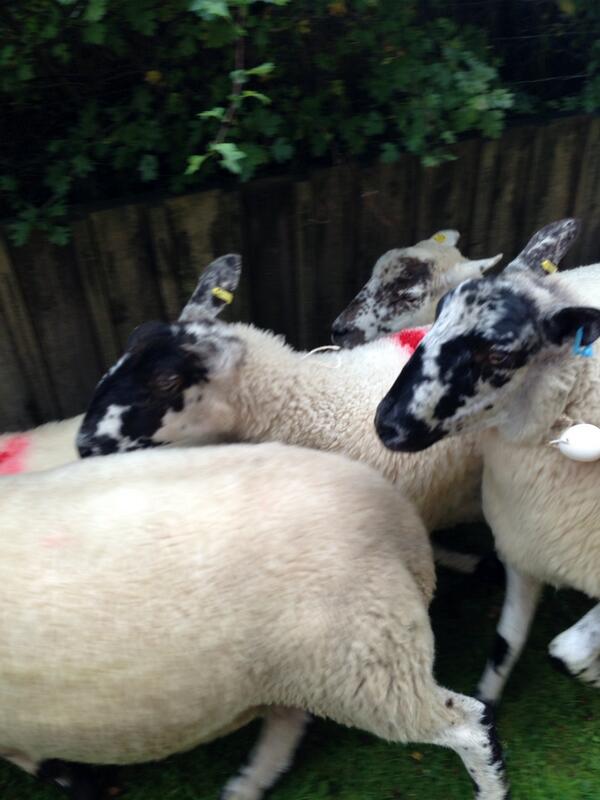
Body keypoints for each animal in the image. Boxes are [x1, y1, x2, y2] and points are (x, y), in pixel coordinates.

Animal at [0, 441, 509, 800]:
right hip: (298, 667)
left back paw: (491, 788)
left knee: (466, 723)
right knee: (287, 722)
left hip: (365, 664)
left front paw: (73, 781)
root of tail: (396, 518)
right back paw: (246, 785)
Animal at [375, 218, 600, 704]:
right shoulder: (523, 547)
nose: (387, 423)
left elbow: (563, 653)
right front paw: (486, 707)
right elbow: (505, 645)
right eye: (436, 315)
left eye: (499, 354)